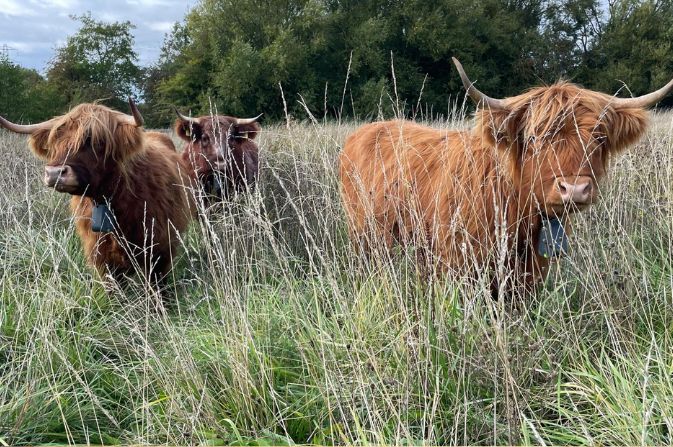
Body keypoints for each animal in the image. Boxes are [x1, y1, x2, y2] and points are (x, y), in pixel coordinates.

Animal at [339, 58, 673, 294]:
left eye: (599, 139)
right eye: (535, 138)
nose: (574, 189)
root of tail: (367, 129)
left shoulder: (529, 272)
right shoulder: (457, 263)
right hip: (364, 235)